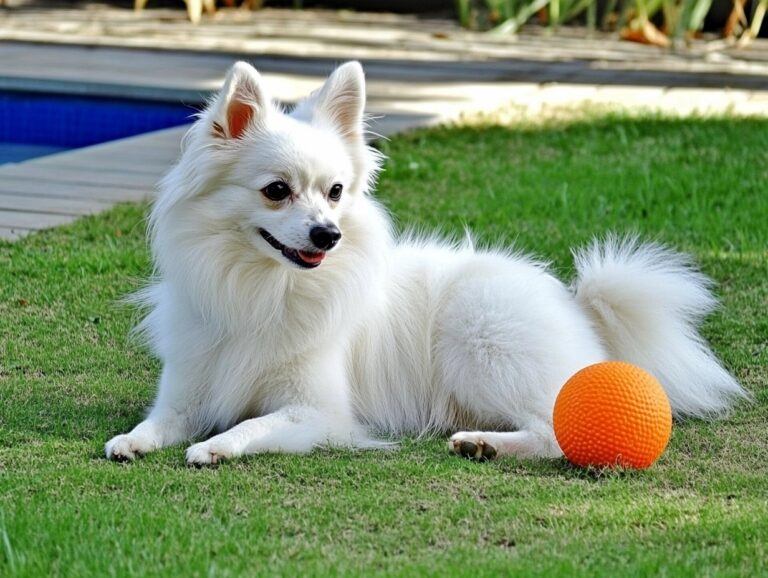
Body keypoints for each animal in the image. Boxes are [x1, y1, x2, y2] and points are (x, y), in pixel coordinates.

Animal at [106, 60, 744, 464]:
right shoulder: (186, 392)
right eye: (276, 191)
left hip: (481, 344)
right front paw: (133, 440)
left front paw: (215, 446)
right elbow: (160, 420)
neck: (263, 287)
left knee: (557, 431)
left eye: (335, 192)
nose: (328, 234)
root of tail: (578, 302)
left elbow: (252, 424)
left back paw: (486, 444)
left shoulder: (318, 413)